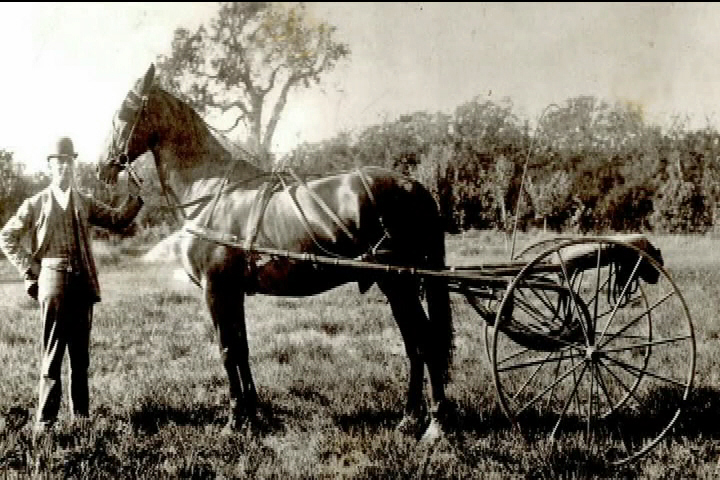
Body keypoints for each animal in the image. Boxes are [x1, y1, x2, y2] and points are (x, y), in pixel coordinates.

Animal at [96, 64, 456, 442]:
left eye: (124, 112)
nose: (101, 167)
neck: (209, 191)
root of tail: (414, 186)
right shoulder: (233, 292)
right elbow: (241, 348)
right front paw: (254, 417)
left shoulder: (216, 290)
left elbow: (227, 350)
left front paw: (234, 422)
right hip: (396, 286)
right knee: (414, 345)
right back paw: (410, 418)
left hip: (400, 284)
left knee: (425, 343)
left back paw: (436, 425)